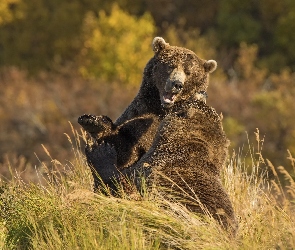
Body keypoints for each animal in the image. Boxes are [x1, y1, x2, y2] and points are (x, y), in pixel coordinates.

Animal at [78, 36, 217, 189]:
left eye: (189, 72)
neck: (161, 108)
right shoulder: (139, 112)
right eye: (170, 65)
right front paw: (92, 122)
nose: (177, 84)